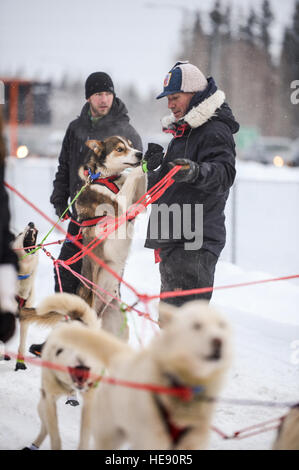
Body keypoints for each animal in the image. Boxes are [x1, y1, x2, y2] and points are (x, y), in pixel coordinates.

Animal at [54, 300, 233, 450]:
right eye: (196, 326)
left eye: (222, 325)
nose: (219, 341)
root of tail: (121, 357)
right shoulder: (151, 439)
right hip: (110, 433)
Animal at [74, 136, 146, 342]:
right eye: (120, 149)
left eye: (131, 145)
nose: (140, 154)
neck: (108, 179)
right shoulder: (119, 207)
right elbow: (132, 175)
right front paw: (141, 167)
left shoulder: (137, 199)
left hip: (118, 325)